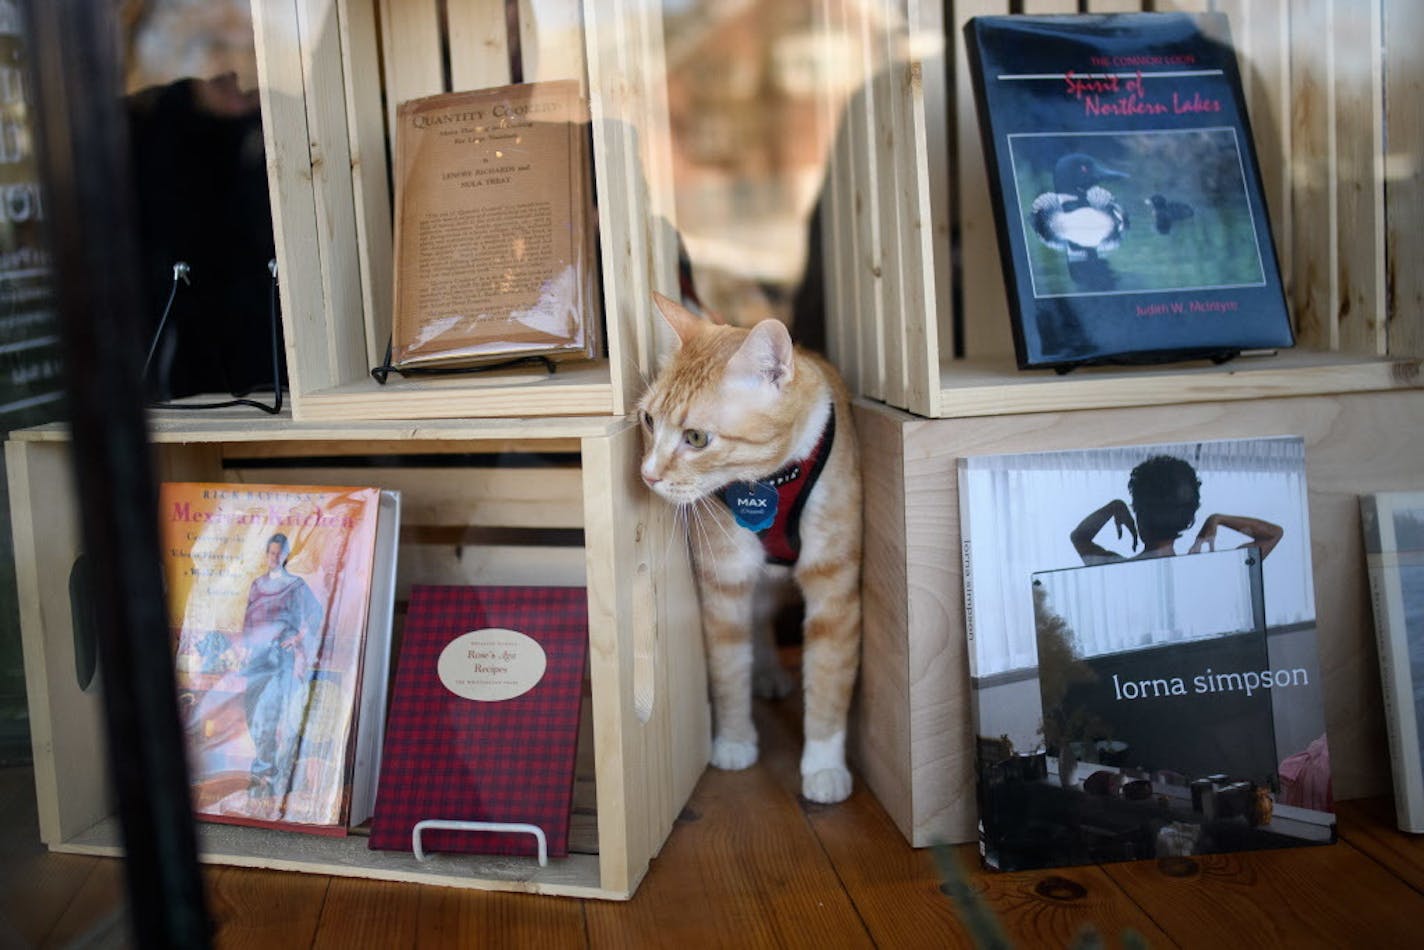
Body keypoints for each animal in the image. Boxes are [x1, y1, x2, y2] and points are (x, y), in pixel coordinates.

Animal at [640, 291, 860, 803]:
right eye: (648, 420)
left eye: (695, 437)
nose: (647, 474)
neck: (772, 482)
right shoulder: (725, 585)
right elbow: (727, 670)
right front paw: (735, 739)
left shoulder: (835, 591)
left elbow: (828, 679)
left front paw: (824, 765)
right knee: (758, 625)